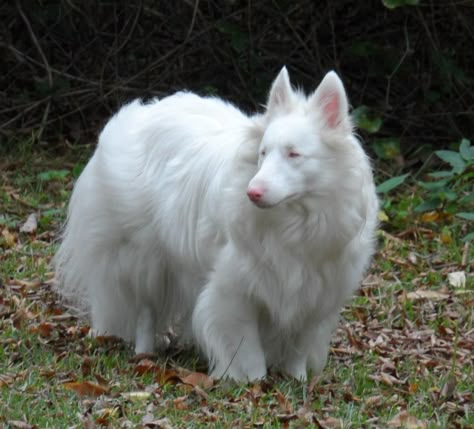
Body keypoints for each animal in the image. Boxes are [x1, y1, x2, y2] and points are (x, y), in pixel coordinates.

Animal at [54, 67, 378, 382]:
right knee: (146, 309)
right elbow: (248, 349)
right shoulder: (234, 292)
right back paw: (144, 352)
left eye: (294, 154)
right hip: (144, 258)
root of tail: (144, 110)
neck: (294, 222)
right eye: (263, 153)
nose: (252, 192)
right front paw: (254, 383)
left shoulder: (316, 295)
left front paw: (296, 379)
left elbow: (299, 344)